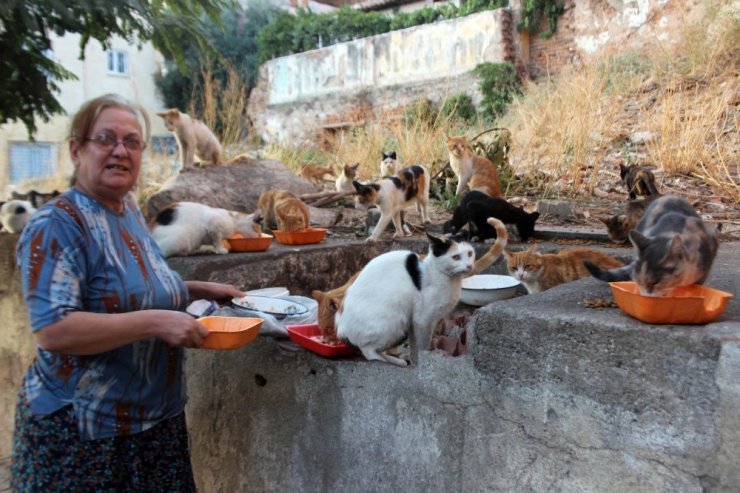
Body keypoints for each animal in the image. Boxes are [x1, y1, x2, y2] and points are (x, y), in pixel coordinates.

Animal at [336, 232, 474, 366]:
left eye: (470, 253)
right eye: (456, 257)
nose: (469, 266)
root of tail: (341, 326)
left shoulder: (414, 322)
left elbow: (414, 347)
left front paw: (415, 362)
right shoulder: (423, 320)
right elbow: (423, 345)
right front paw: (424, 359)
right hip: (394, 325)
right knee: (368, 352)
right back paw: (391, 361)